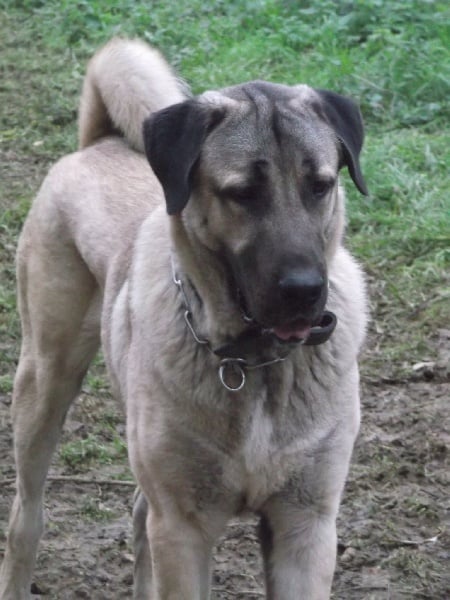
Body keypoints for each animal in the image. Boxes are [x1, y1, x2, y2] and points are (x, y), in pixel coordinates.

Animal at [0, 38, 368, 599]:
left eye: (320, 185)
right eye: (243, 193)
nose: (305, 291)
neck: (255, 363)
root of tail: (99, 142)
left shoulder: (305, 525)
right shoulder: (183, 527)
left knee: (137, 514)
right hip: (45, 380)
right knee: (27, 514)